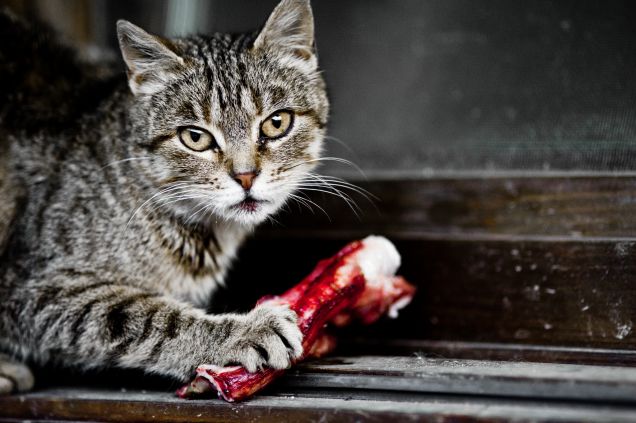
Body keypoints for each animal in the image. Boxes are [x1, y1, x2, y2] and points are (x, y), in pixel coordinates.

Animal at [0, 0, 328, 398]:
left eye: (276, 123)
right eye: (195, 138)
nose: (246, 175)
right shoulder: (34, 287)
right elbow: (149, 318)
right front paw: (242, 332)